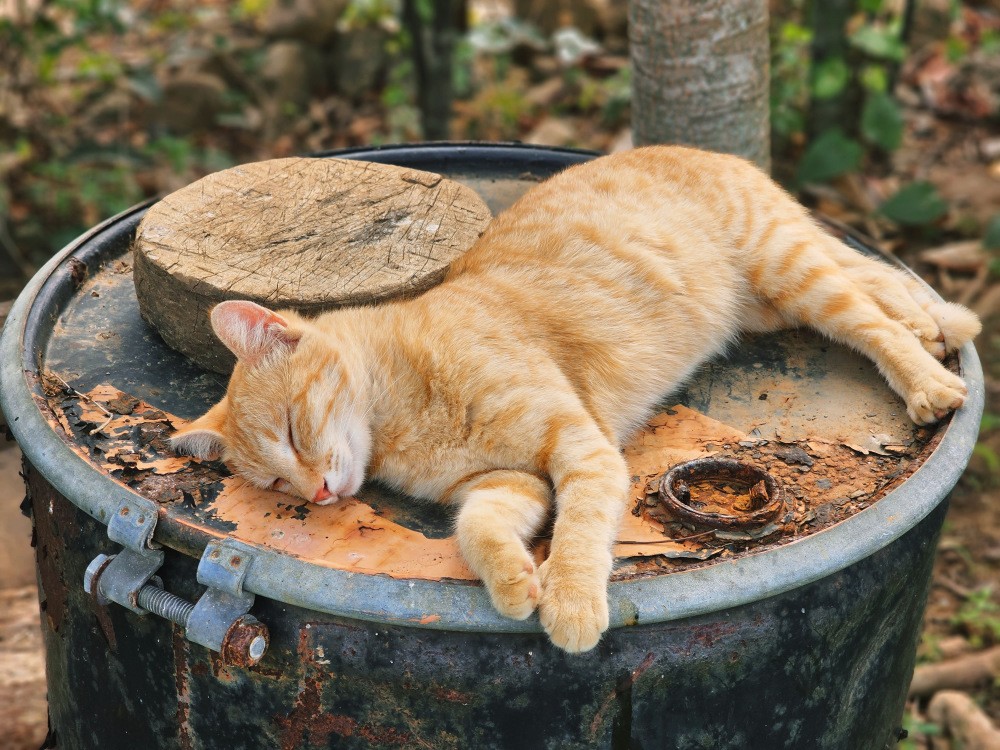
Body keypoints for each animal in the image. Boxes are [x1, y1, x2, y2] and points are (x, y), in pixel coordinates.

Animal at [170, 145, 976, 652]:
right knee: (878, 280)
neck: (402, 418)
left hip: (787, 269)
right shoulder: (505, 484)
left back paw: (932, 378)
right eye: (275, 484)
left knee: (867, 314)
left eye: (292, 430)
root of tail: (709, 150)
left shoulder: (580, 448)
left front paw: (571, 603)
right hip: (774, 303)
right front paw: (515, 582)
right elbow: (478, 530)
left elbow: (583, 530)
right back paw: (938, 322)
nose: (317, 494)